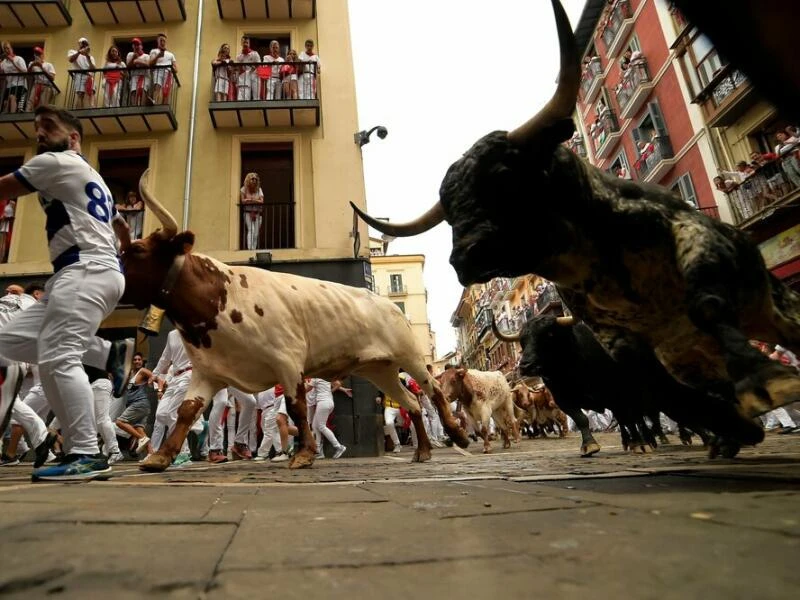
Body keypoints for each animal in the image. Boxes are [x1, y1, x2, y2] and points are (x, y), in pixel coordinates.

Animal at [119, 171, 468, 472]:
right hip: (378, 368)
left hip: (409, 356)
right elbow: (186, 411)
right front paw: (161, 456)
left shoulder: (287, 360)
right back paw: (423, 451)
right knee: (411, 402)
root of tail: (387, 304)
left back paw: (457, 435)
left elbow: (297, 406)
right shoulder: (209, 371)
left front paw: (304, 454)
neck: (220, 298)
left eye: (137, 250)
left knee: (433, 389)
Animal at [352, 0, 800, 454]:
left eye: (503, 174)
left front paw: (761, 384)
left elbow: (702, 313)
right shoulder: (611, 354)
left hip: (769, 303)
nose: (463, 257)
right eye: (449, 206)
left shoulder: (691, 246)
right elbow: (637, 403)